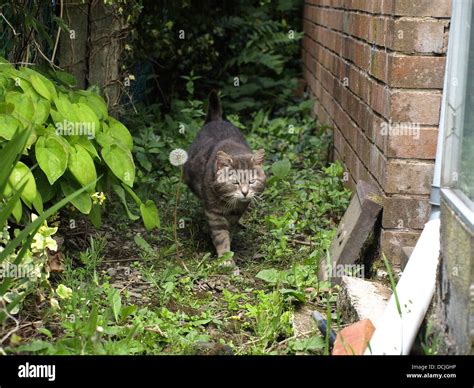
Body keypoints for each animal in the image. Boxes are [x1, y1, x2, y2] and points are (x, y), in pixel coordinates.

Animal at [184, 91, 266, 266]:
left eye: (252, 181)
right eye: (234, 182)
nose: (244, 192)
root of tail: (216, 119)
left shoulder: (236, 214)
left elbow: (230, 230)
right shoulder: (214, 213)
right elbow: (221, 236)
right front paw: (226, 260)